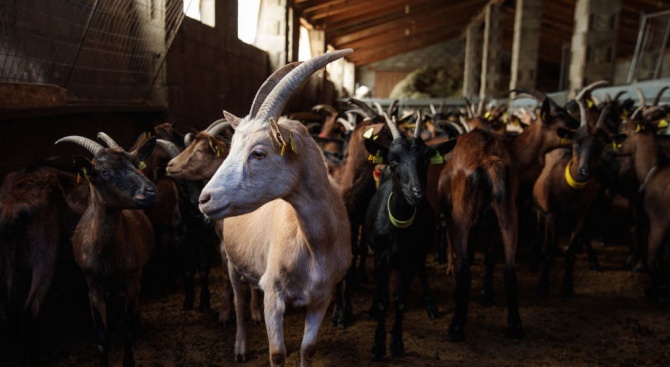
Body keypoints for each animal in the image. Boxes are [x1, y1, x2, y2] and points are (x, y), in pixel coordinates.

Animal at [198, 49, 352, 367]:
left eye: (259, 153)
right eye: (231, 148)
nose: (205, 199)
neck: (315, 245)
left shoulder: (322, 296)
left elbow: (308, 349)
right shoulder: (274, 295)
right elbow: (277, 354)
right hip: (230, 259)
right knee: (238, 300)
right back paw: (240, 345)